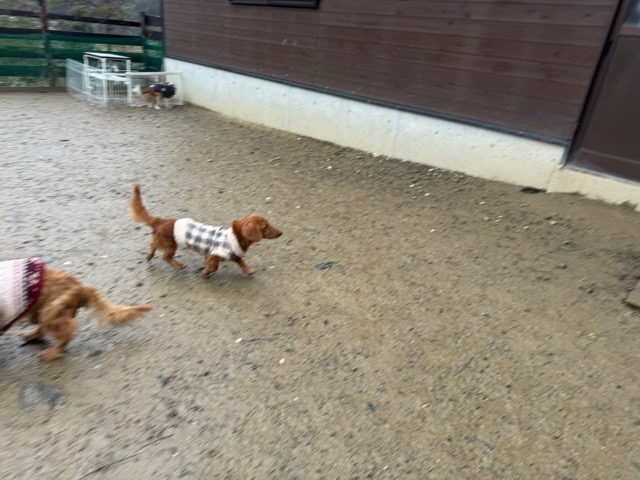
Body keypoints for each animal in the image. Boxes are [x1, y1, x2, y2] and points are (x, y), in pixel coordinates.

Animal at [0, 257, 152, 362]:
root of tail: (81, 288)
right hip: (42, 313)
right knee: (44, 329)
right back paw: (32, 335)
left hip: (52, 311)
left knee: (65, 336)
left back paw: (51, 353)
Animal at [130, 184, 282, 278]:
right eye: (265, 227)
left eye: (269, 224)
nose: (281, 233)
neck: (235, 236)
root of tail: (160, 220)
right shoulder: (214, 254)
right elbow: (213, 266)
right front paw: (205, 273)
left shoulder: (233, 255)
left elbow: (241, 261)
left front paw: (249, 270)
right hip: (171, 246)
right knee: (165, 257)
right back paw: (178, 265)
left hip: (161, 241)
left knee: (153, 246)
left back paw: (149, 256)